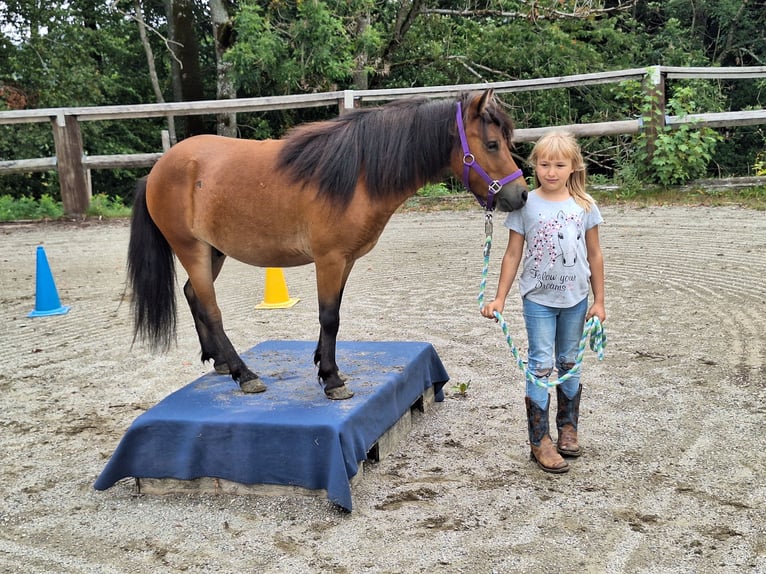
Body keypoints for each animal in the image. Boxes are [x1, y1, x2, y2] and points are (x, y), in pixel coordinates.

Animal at [127, 88, 528, 400]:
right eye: (492, 144)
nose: (521, 194)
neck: (359, 173)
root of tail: (157, 169)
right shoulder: (329, 259)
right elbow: (329, 316)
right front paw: (333, 380)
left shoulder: (346, 260)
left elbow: (332, 314)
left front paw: (324, 364)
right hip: (191, 248)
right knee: (210, 309)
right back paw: (245, 374)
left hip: (214, 251)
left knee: (192, 295)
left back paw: (222, 362)